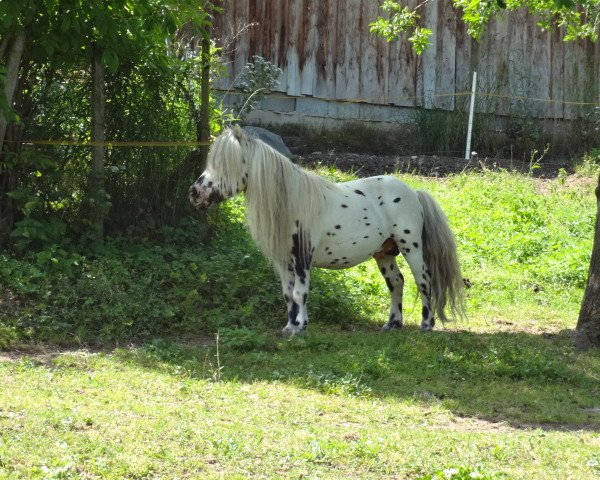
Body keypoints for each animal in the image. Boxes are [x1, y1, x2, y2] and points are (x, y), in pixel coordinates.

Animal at [190, 125, 466, 336]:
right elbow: (287, 294)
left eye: (226, 164)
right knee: (397, 282)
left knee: (424, 281)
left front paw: (299, 327)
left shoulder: (302, 258)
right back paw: (392, 324)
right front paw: (289, 326)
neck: (291, 201)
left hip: (411, 248)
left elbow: (300, 293)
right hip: (384, 253)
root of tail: (414, 193)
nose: (195, 193)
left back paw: (426, 325)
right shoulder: (283, 261)